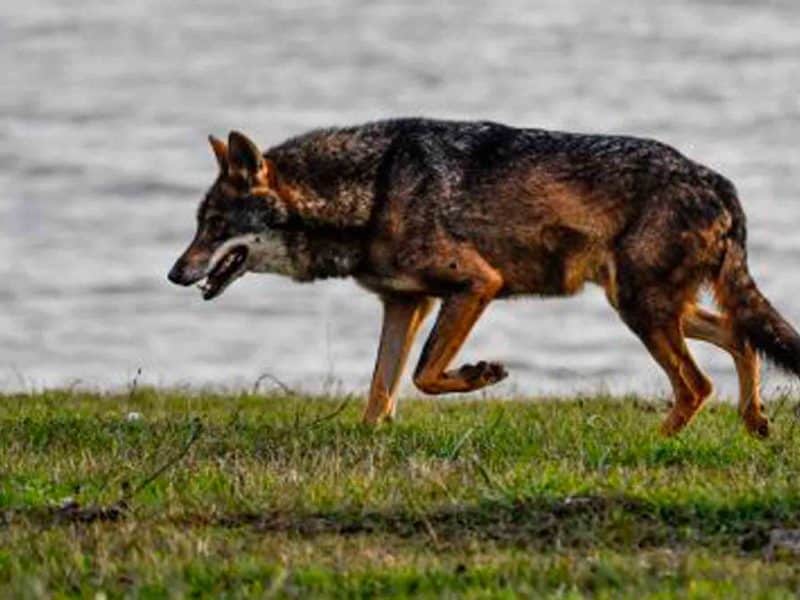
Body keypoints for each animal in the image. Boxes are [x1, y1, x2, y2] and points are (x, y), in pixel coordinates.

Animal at [169, 118, 800, 436]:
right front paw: (373, 440)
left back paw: (651, 448)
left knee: (697, 385)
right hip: (650, 306)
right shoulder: (405, 304)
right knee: (740, 338)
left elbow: (424, 375)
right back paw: (755, 421)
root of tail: (717, 181)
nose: (175, 274)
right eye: (198, 225)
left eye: (215, 225)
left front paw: (482, 375)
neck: (373, 188)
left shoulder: (477, 284)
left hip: (641, 310)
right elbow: (381, 391)